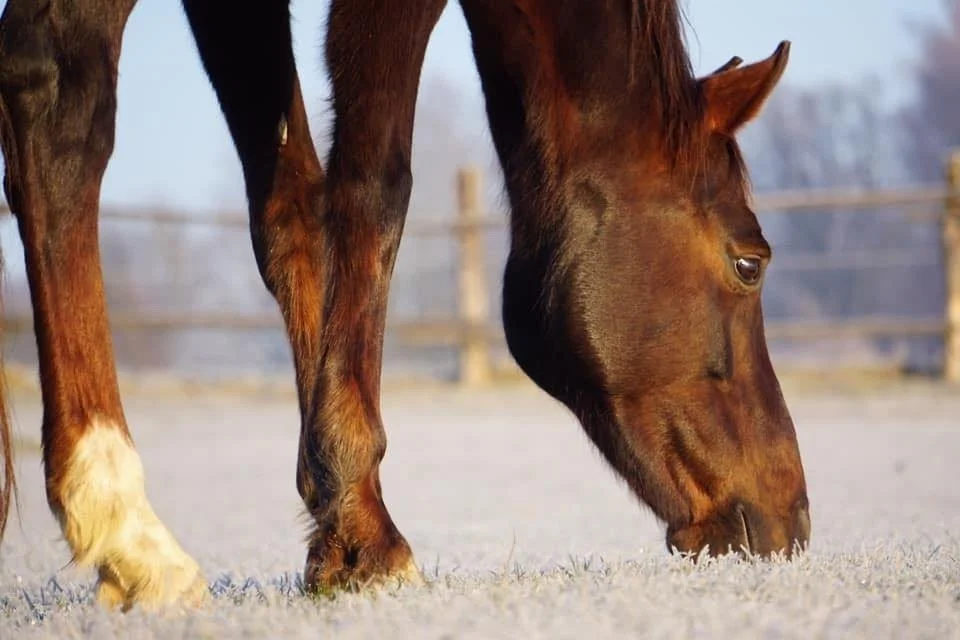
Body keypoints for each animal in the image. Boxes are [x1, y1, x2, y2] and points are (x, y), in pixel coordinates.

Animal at [0, 0, 810, 611]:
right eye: (750, 263)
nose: (792, 524)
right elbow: (373, 186)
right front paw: (370, 534)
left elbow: (292, 208)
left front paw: (338, 528)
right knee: (61, 96)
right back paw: (124, 524)